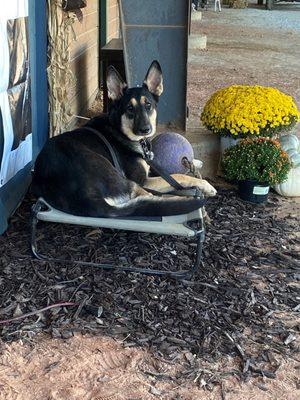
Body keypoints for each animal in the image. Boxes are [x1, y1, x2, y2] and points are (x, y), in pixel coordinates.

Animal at [32, 61, 216, 217]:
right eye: (129, 108)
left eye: (148, 105)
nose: (145, 129)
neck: (120, 131)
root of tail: (84, 197)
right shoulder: (143, 180)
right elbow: (179, 176)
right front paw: (205, 185)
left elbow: (171, 173)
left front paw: (196, 164)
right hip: (120, 177)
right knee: (150, 198)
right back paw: (185, 198)